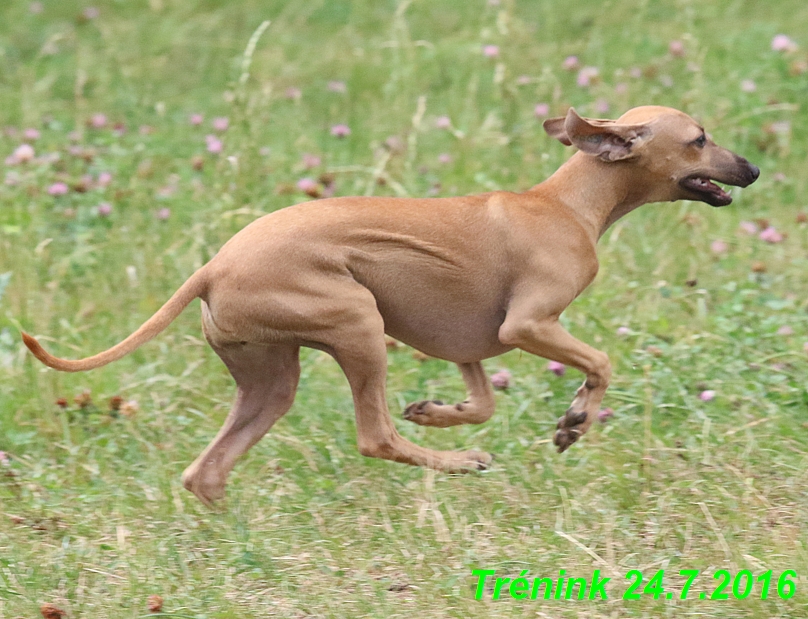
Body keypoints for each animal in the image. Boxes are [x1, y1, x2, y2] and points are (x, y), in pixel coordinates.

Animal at [23, 105, 756, 504]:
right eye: (699, 138)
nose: (750, 168)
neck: (566, 202)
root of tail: (212, 267)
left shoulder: (465, 342)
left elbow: (480, 401)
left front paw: (436, 410)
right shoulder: (529, 323)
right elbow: (600, 363)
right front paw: (573, 422)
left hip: (270, 379)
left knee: (205, 472)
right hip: (358, 324)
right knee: (374, 437)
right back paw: (462, 463)